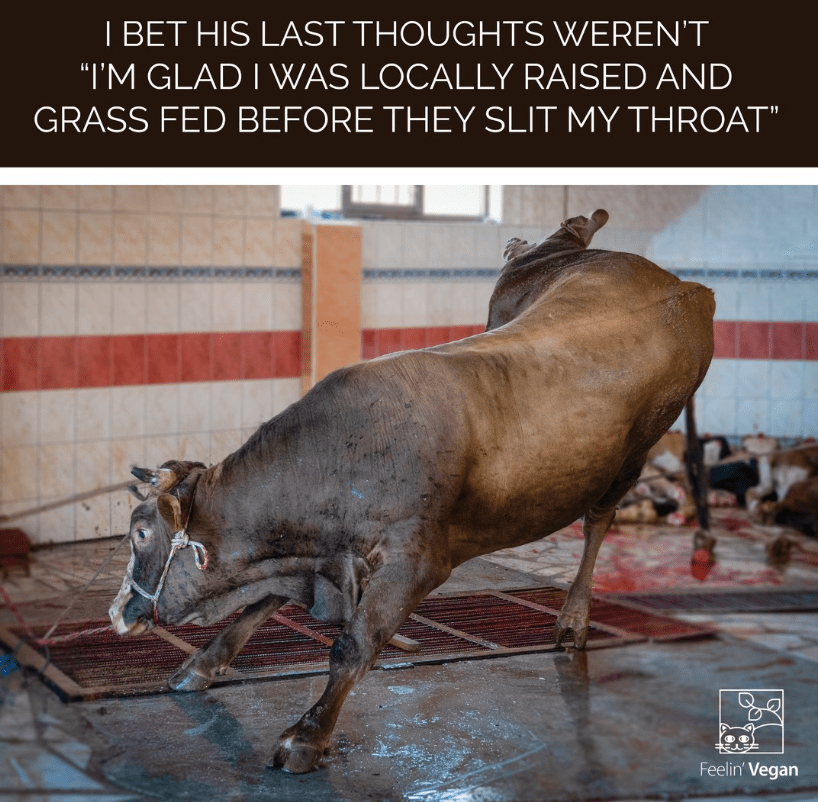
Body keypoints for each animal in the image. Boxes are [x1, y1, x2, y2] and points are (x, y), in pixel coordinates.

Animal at [110, 209, 715, 774]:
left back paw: (573, 620)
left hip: (635, 452)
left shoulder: (418, 561)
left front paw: (307, 736)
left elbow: (353, 643)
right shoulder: (320, 557)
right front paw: (201, 665)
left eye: (141, 533)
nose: (118, 612)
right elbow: (259, 606)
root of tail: (682, 285)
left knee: (597, 522)